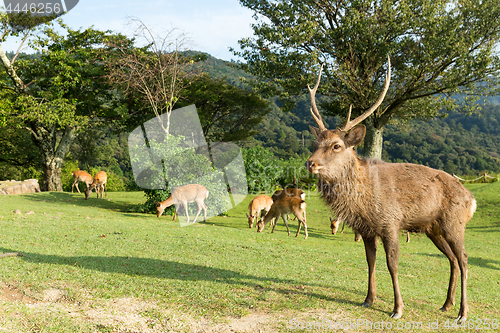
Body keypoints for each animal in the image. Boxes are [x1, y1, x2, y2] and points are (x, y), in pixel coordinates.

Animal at [304, 58, 476, 320]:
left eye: (336, 146)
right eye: (314, 144)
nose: (310, 163)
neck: (363, 200)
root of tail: (471, 199)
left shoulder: (390, 222)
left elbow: (392, 265)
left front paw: (397, 308)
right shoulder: (366, 228)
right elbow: (370, 261)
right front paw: (368, 299)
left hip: (454, 223)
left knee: (464, 259)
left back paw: (462, 312)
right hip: (433, 229)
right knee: (453, 260)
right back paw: (446, 304)